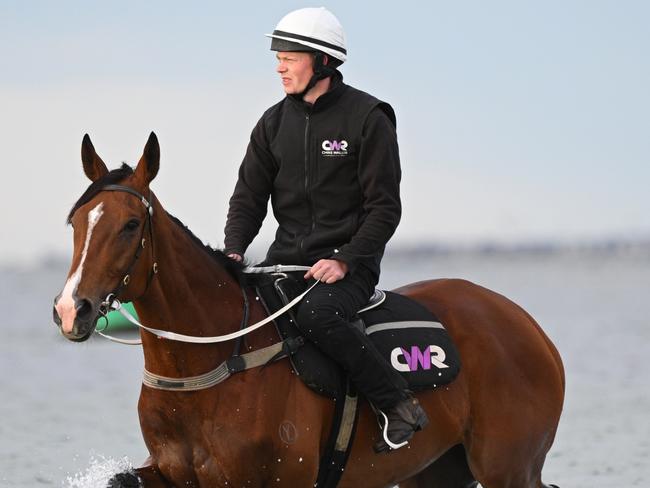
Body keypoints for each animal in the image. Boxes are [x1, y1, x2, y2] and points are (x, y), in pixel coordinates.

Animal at [53, 133, 560, 488]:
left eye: (130, 224)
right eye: (75, 222)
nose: (70, 309)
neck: (212, 363)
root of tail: (528, 326)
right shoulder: (173, 473)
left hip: (509, 470)